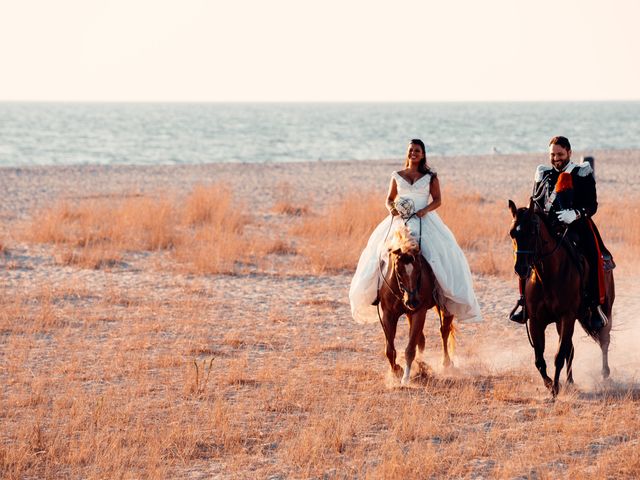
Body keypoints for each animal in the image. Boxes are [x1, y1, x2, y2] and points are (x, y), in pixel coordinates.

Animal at [380, 226, 456, 386]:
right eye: (398, 271)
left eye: (419, 269)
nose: (412, 301)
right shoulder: (388, 314)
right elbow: (389, 350)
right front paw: (397, 370)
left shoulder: (419, 312)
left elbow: (410, 349)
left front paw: (405, 378)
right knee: (421, 339)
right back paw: (421, 365)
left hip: (444, 307)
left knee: (444, 331)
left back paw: (445, 363)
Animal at [508, 199, 612, 398]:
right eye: (512, 233)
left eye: (532, 232)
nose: (520, 268)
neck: (548, 276)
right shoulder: (536, 321)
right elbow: (540, 359)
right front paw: (550, 384)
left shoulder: (567, 316)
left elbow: (558, 356)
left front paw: (555, 387)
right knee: (571, 349)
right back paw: (570, 381)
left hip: (605, 310)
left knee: (604, 340)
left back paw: (605, 374)